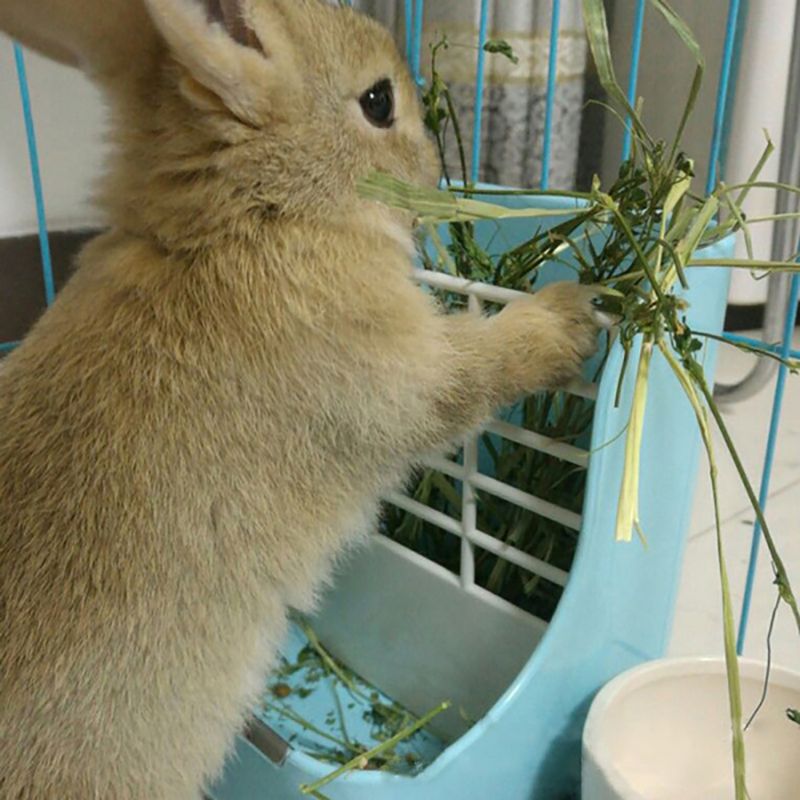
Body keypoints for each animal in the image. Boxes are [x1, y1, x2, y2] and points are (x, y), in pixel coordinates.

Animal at [0, 1, 605, 798]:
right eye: (378, 101)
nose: (431, 170)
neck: (248, 216)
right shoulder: (399, 370)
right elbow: (475, 372)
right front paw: (571, 317)